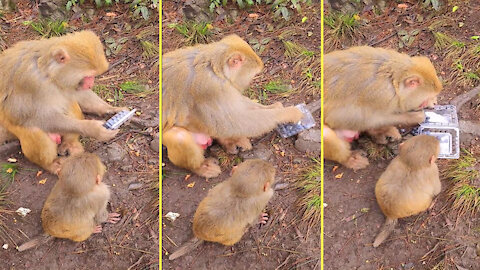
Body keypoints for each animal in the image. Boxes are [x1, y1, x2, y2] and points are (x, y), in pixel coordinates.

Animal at [0, 30, 125, 173]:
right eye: (88, 76)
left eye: (93, 76)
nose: (90, 84)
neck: (47, 71)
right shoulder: (30, 81)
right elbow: (28, 116)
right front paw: (93, 129)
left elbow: (78, 95)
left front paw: (111, 110)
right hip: (9, 127)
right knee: (34, 128)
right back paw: (51, 164)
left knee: (70, 104)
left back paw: (69, 144)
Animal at [163, 34, 302, 178]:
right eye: (253, 75)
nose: (247, 83)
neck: (215, 68)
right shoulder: (210, 89)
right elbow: (233, 120)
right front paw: (288, 113)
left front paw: (274, 107)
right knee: (181, 137)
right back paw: (200, 168)